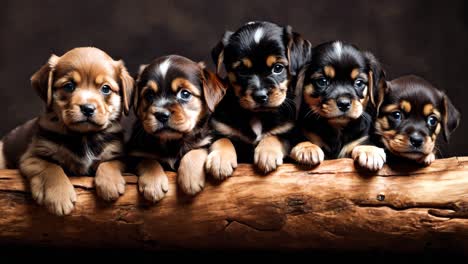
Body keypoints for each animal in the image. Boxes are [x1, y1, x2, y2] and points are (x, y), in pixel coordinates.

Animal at [0, 47, 135, 216]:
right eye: (69, 86)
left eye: (105, 89)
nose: (87, 108)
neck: (83, 136)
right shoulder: (32, 156)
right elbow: (51, 168)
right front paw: (59, 196)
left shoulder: (117, 154)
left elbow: (109, 163)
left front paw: (110, 184)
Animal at [126, 54, 225, 201]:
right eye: (149, 95)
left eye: (185, 94)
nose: (161, 115)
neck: (171, 142)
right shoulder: (135, 153)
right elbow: (148, 160)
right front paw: (153, 185)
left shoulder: (204, 141)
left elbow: (195, 150)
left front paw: (190, 180)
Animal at [207, 20, 310, 177]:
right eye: (242, 70)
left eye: (278, 68)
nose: (260, 96)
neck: (258, 115)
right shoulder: (218, 128)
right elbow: (222, 139)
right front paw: (220, 160)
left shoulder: (286, 131)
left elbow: (274, 136)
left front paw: (267, 154)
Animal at [290, 41, 386, 169]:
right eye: (322, 81)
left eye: (359, 82)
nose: (344, 103)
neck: (337, 127)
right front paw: (307, 148)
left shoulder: (359, 139)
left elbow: (360, 143)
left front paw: (370, 151)